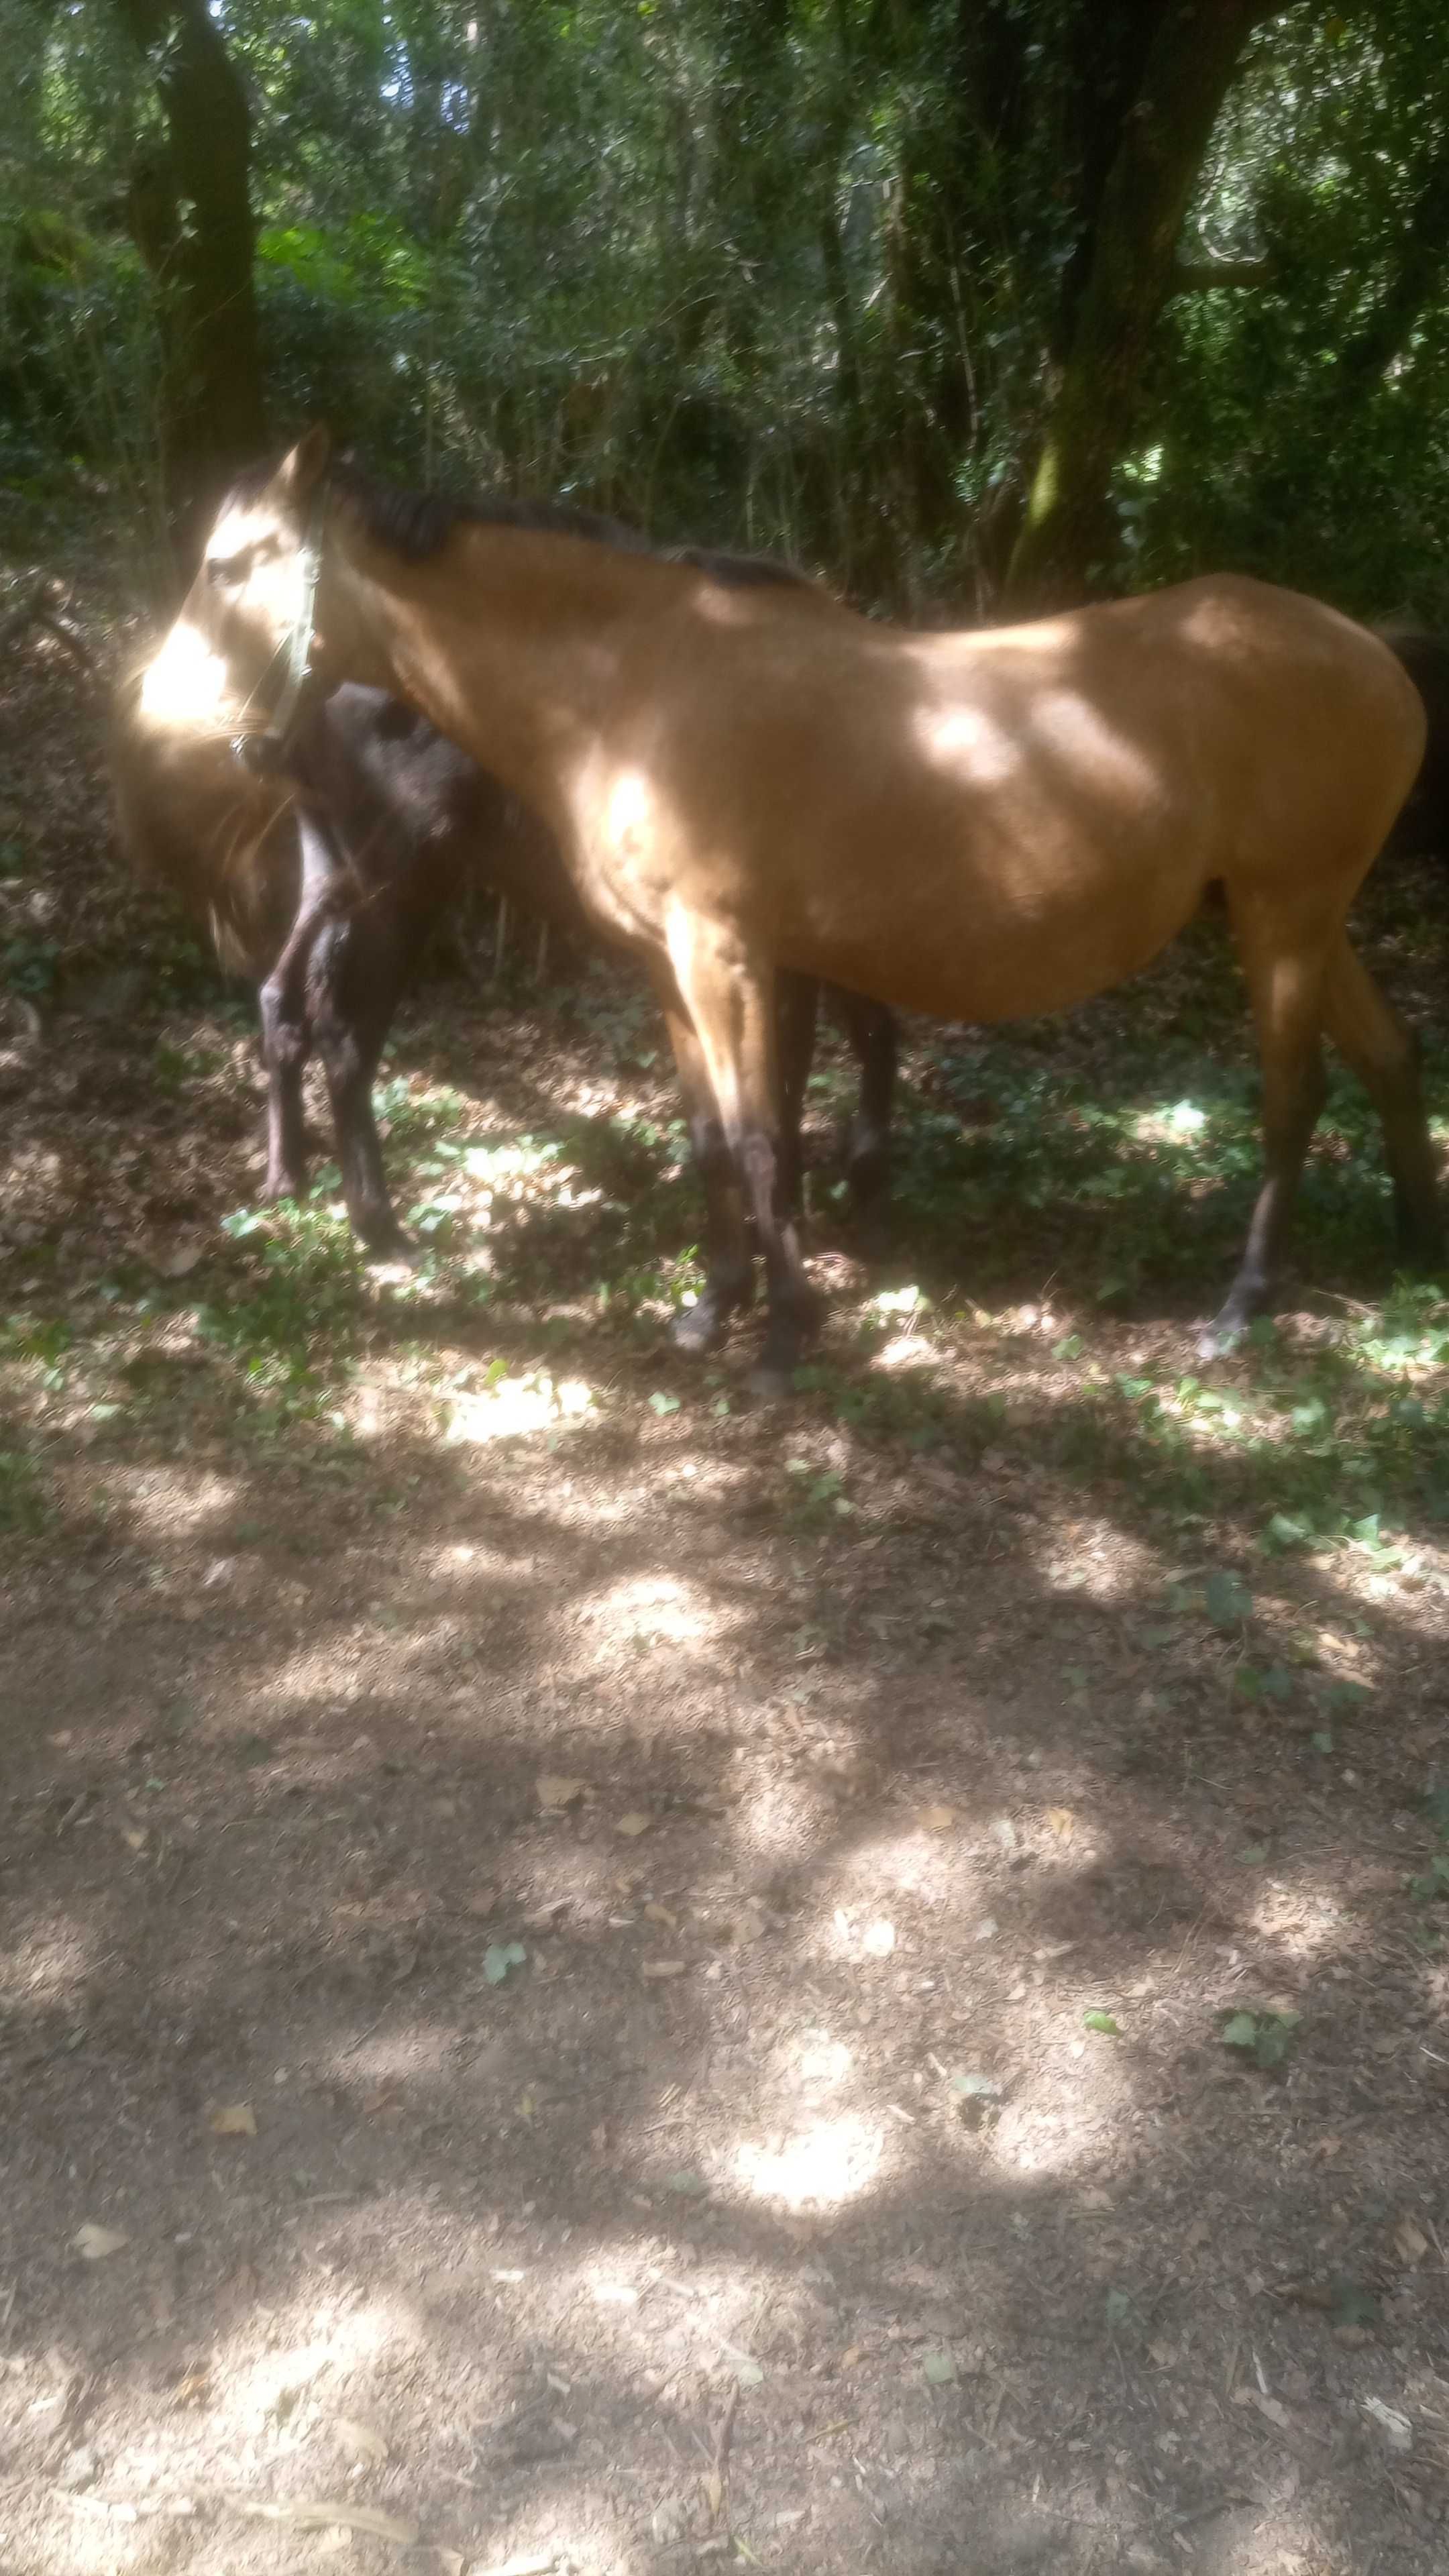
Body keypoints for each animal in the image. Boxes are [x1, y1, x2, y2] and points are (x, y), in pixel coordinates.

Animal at [178, 433, 1433, 1391]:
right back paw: (1417, 1247)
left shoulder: (727, 956)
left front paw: (784, 1335)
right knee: (1389, 1057)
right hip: (1309, 920)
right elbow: (711, 1139)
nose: (189, 712)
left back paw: (1243, 1305)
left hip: (1282, 916)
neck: (632, 686)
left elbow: (760, 1133)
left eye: (233, 565)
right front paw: (714, 1307)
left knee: (1295, 1095)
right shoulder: (671, 966)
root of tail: (1376, 655)